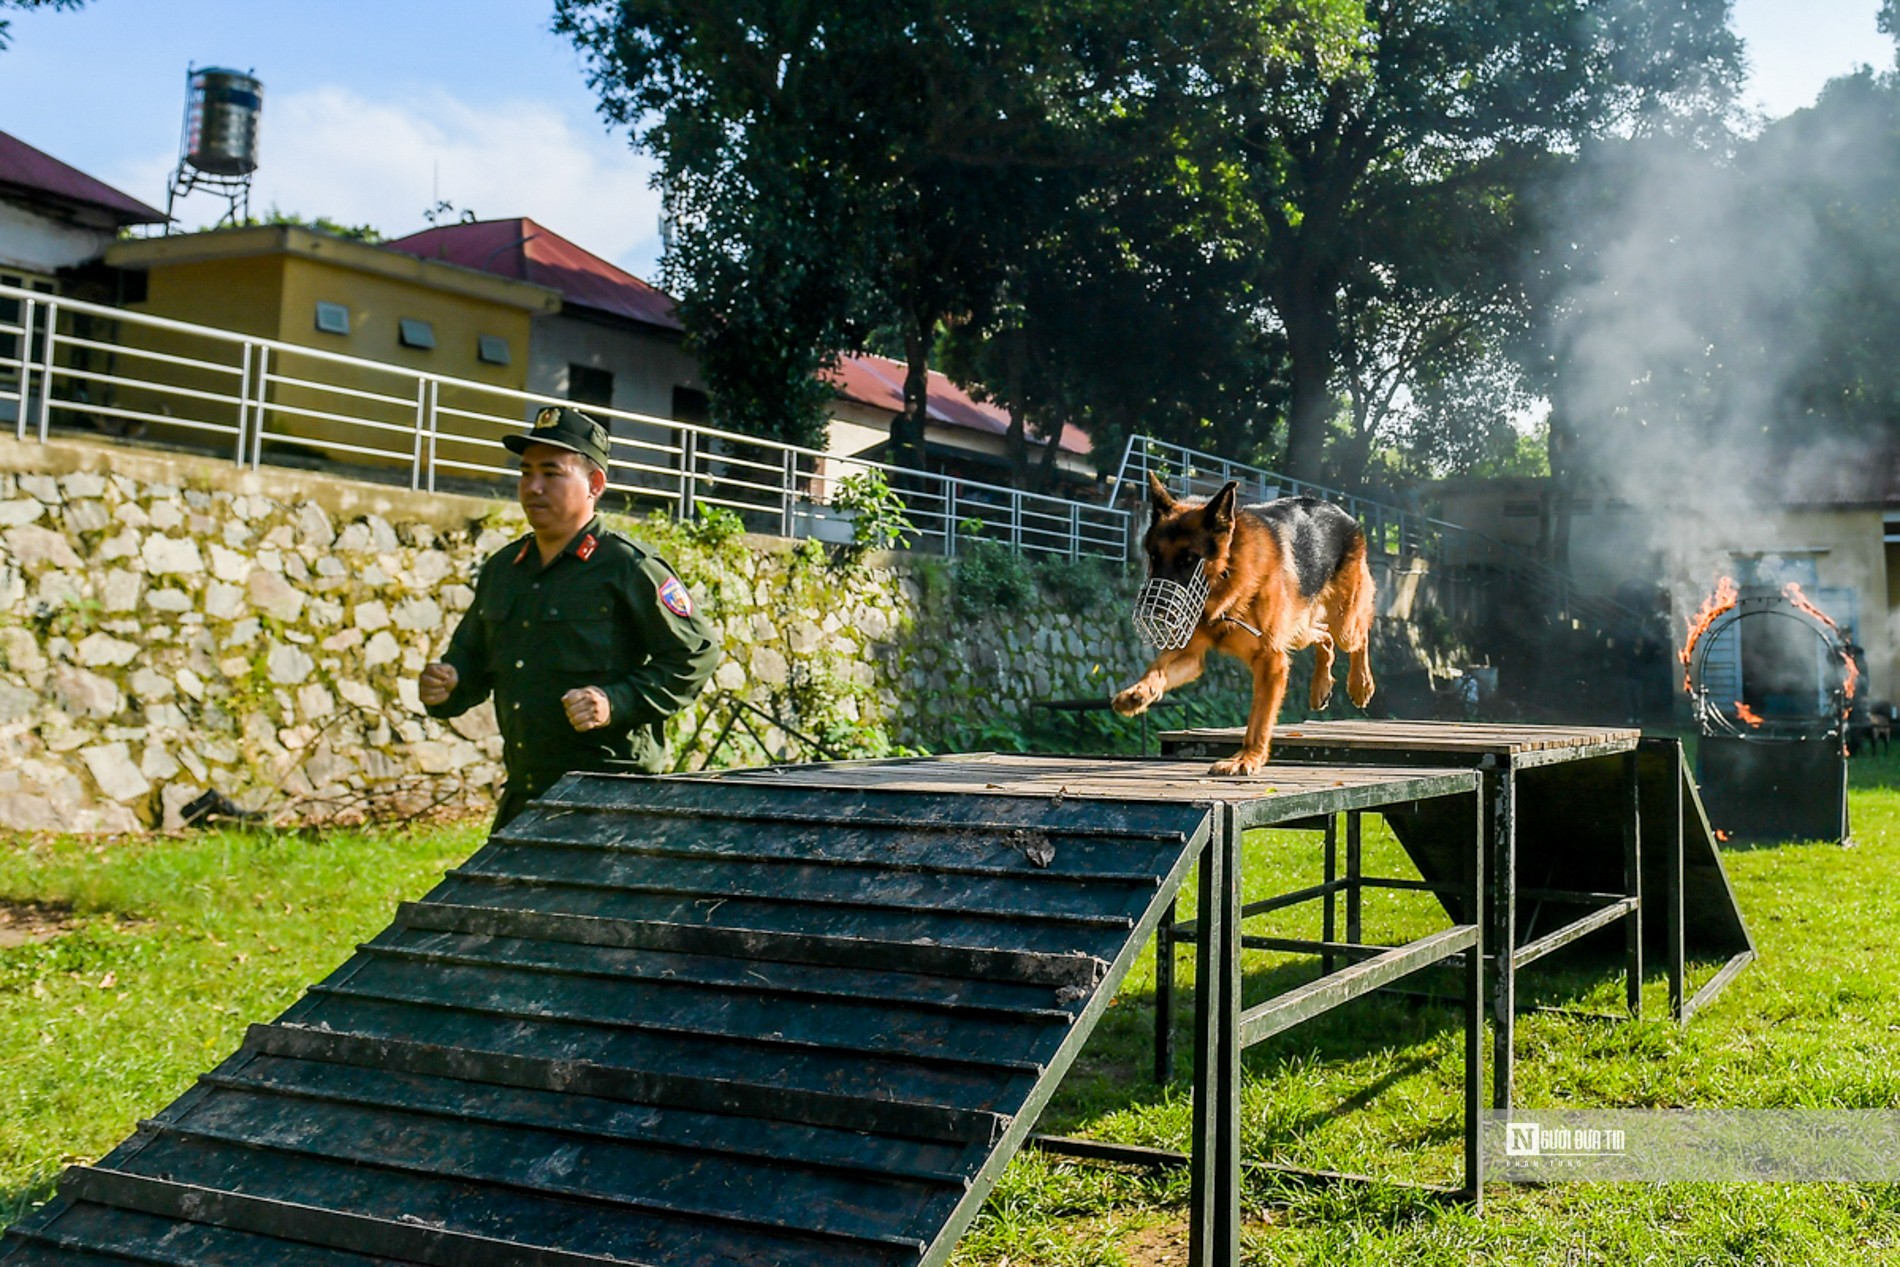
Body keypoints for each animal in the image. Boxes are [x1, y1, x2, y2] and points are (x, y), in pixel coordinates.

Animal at [1109, 472, 1375, 775]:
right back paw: (1321, 686)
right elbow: (1157, 669)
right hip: (1298, 628)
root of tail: (1341, 512)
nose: (1154, 610)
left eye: (1189, 559)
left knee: (1359, 634)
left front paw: (1246, 758)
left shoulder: (1271, 661)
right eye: (1154, 556)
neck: (1228, 576)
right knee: (1325, 637)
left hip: (1344, 622)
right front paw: (1138, 692)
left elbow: (1259, 719)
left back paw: (1361, 684)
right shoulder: (1190, 655)